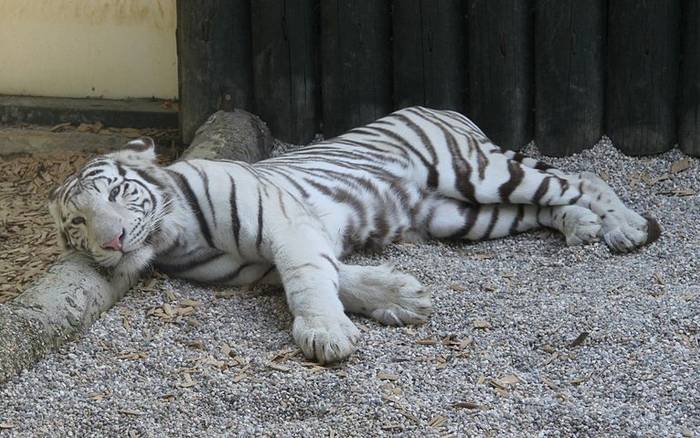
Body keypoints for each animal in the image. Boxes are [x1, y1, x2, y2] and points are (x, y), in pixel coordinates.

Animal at [50, 105, 660, 362]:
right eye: (76, 223)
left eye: (115, 193)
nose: (111, 242)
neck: (176, 236)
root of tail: (447, 110)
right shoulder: (266, 260)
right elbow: (338, 276)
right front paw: (402, 299)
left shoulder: (286, 226)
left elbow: (308, 281)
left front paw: (324, 335)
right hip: (461, 215)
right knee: (544, 205)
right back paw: (582, 225)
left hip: (475, 172)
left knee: (579, 177)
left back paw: (626, 227)